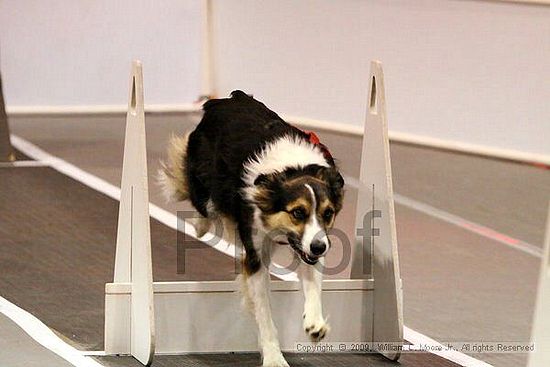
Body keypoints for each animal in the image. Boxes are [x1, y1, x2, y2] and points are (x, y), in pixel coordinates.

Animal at [157, 90, 344, 367]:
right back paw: (200, 225)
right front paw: (274, 357)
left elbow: (313, 285)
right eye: (297, 212)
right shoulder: (256, 255)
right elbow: (263, 312)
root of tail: (229, 98)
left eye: (328, 213)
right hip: (205, 180)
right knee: (201, 200)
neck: (291, 169)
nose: (320, 247)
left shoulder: (309, 244)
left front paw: (315, 324)